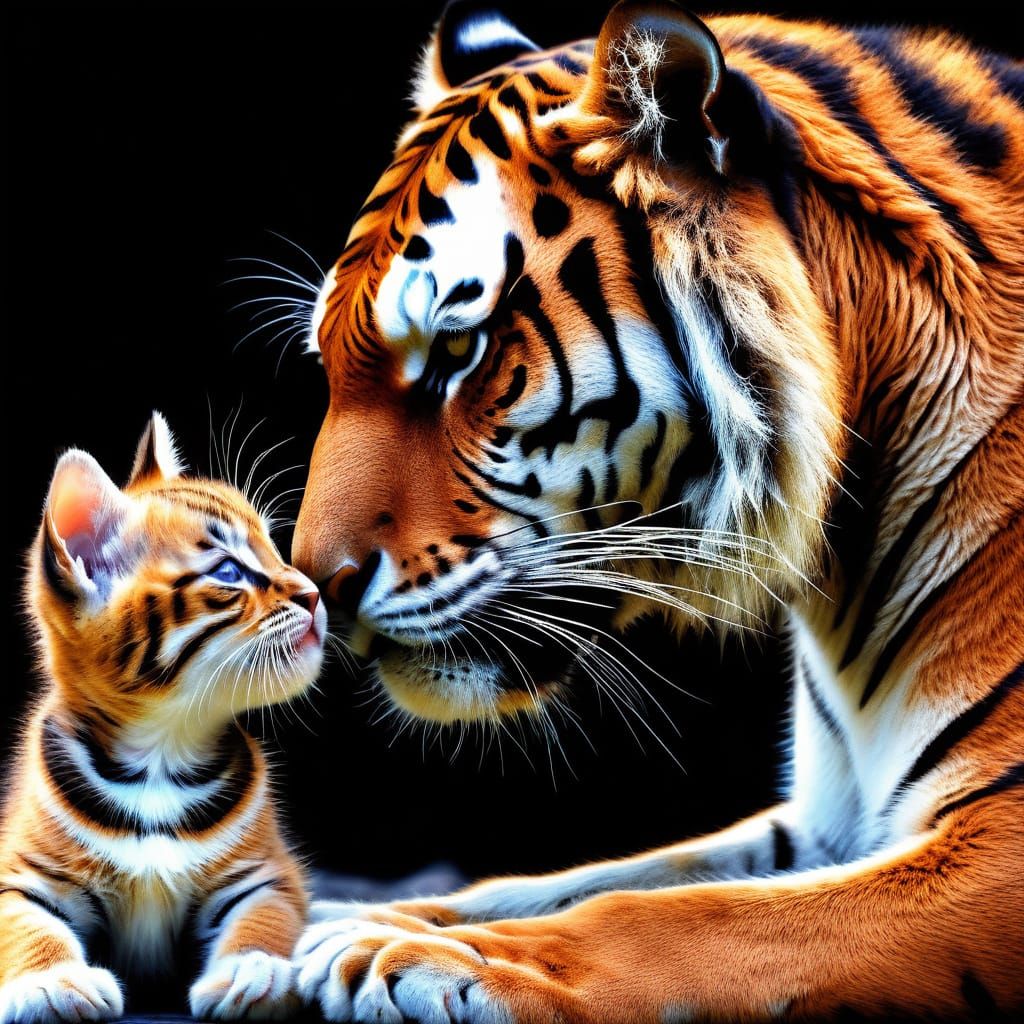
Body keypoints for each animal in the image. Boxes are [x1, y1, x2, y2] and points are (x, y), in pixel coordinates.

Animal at [0, 413, 327, 1022]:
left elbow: (266, 917)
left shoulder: (269, 875)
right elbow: (24, 925)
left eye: (274, 549)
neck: (161, 750)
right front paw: (51, 980)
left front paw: (254, 968)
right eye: (229, 571)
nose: (315, 593)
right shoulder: (18, 873)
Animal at [288, 0, 1024, 1020]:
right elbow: (599, 876)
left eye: (458, 353)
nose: (315, 588)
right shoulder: (821, 820)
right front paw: (344, 925)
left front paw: (425, 958)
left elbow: (681, 919)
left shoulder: (998, 843)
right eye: (326, 359)